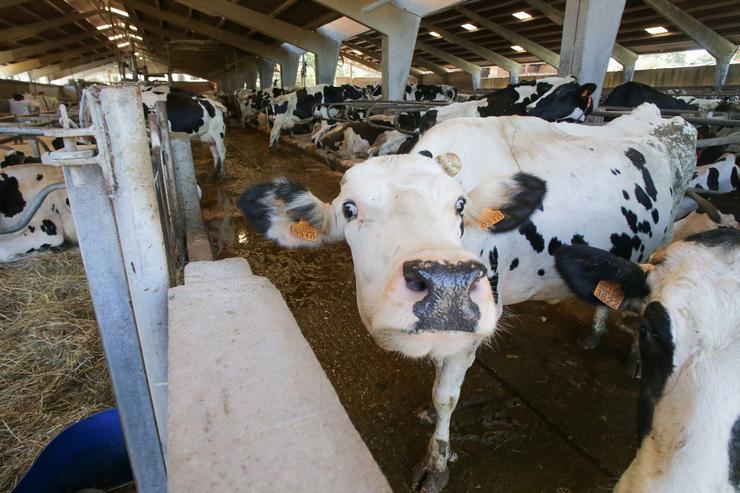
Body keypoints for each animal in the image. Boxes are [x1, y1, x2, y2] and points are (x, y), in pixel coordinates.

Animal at [240, 103, 696, 488]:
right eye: (350, 209)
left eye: (459, 205)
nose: (446, 282)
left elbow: (447, 395)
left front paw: (436, 460)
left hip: (666, 239)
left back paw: (638, 358)